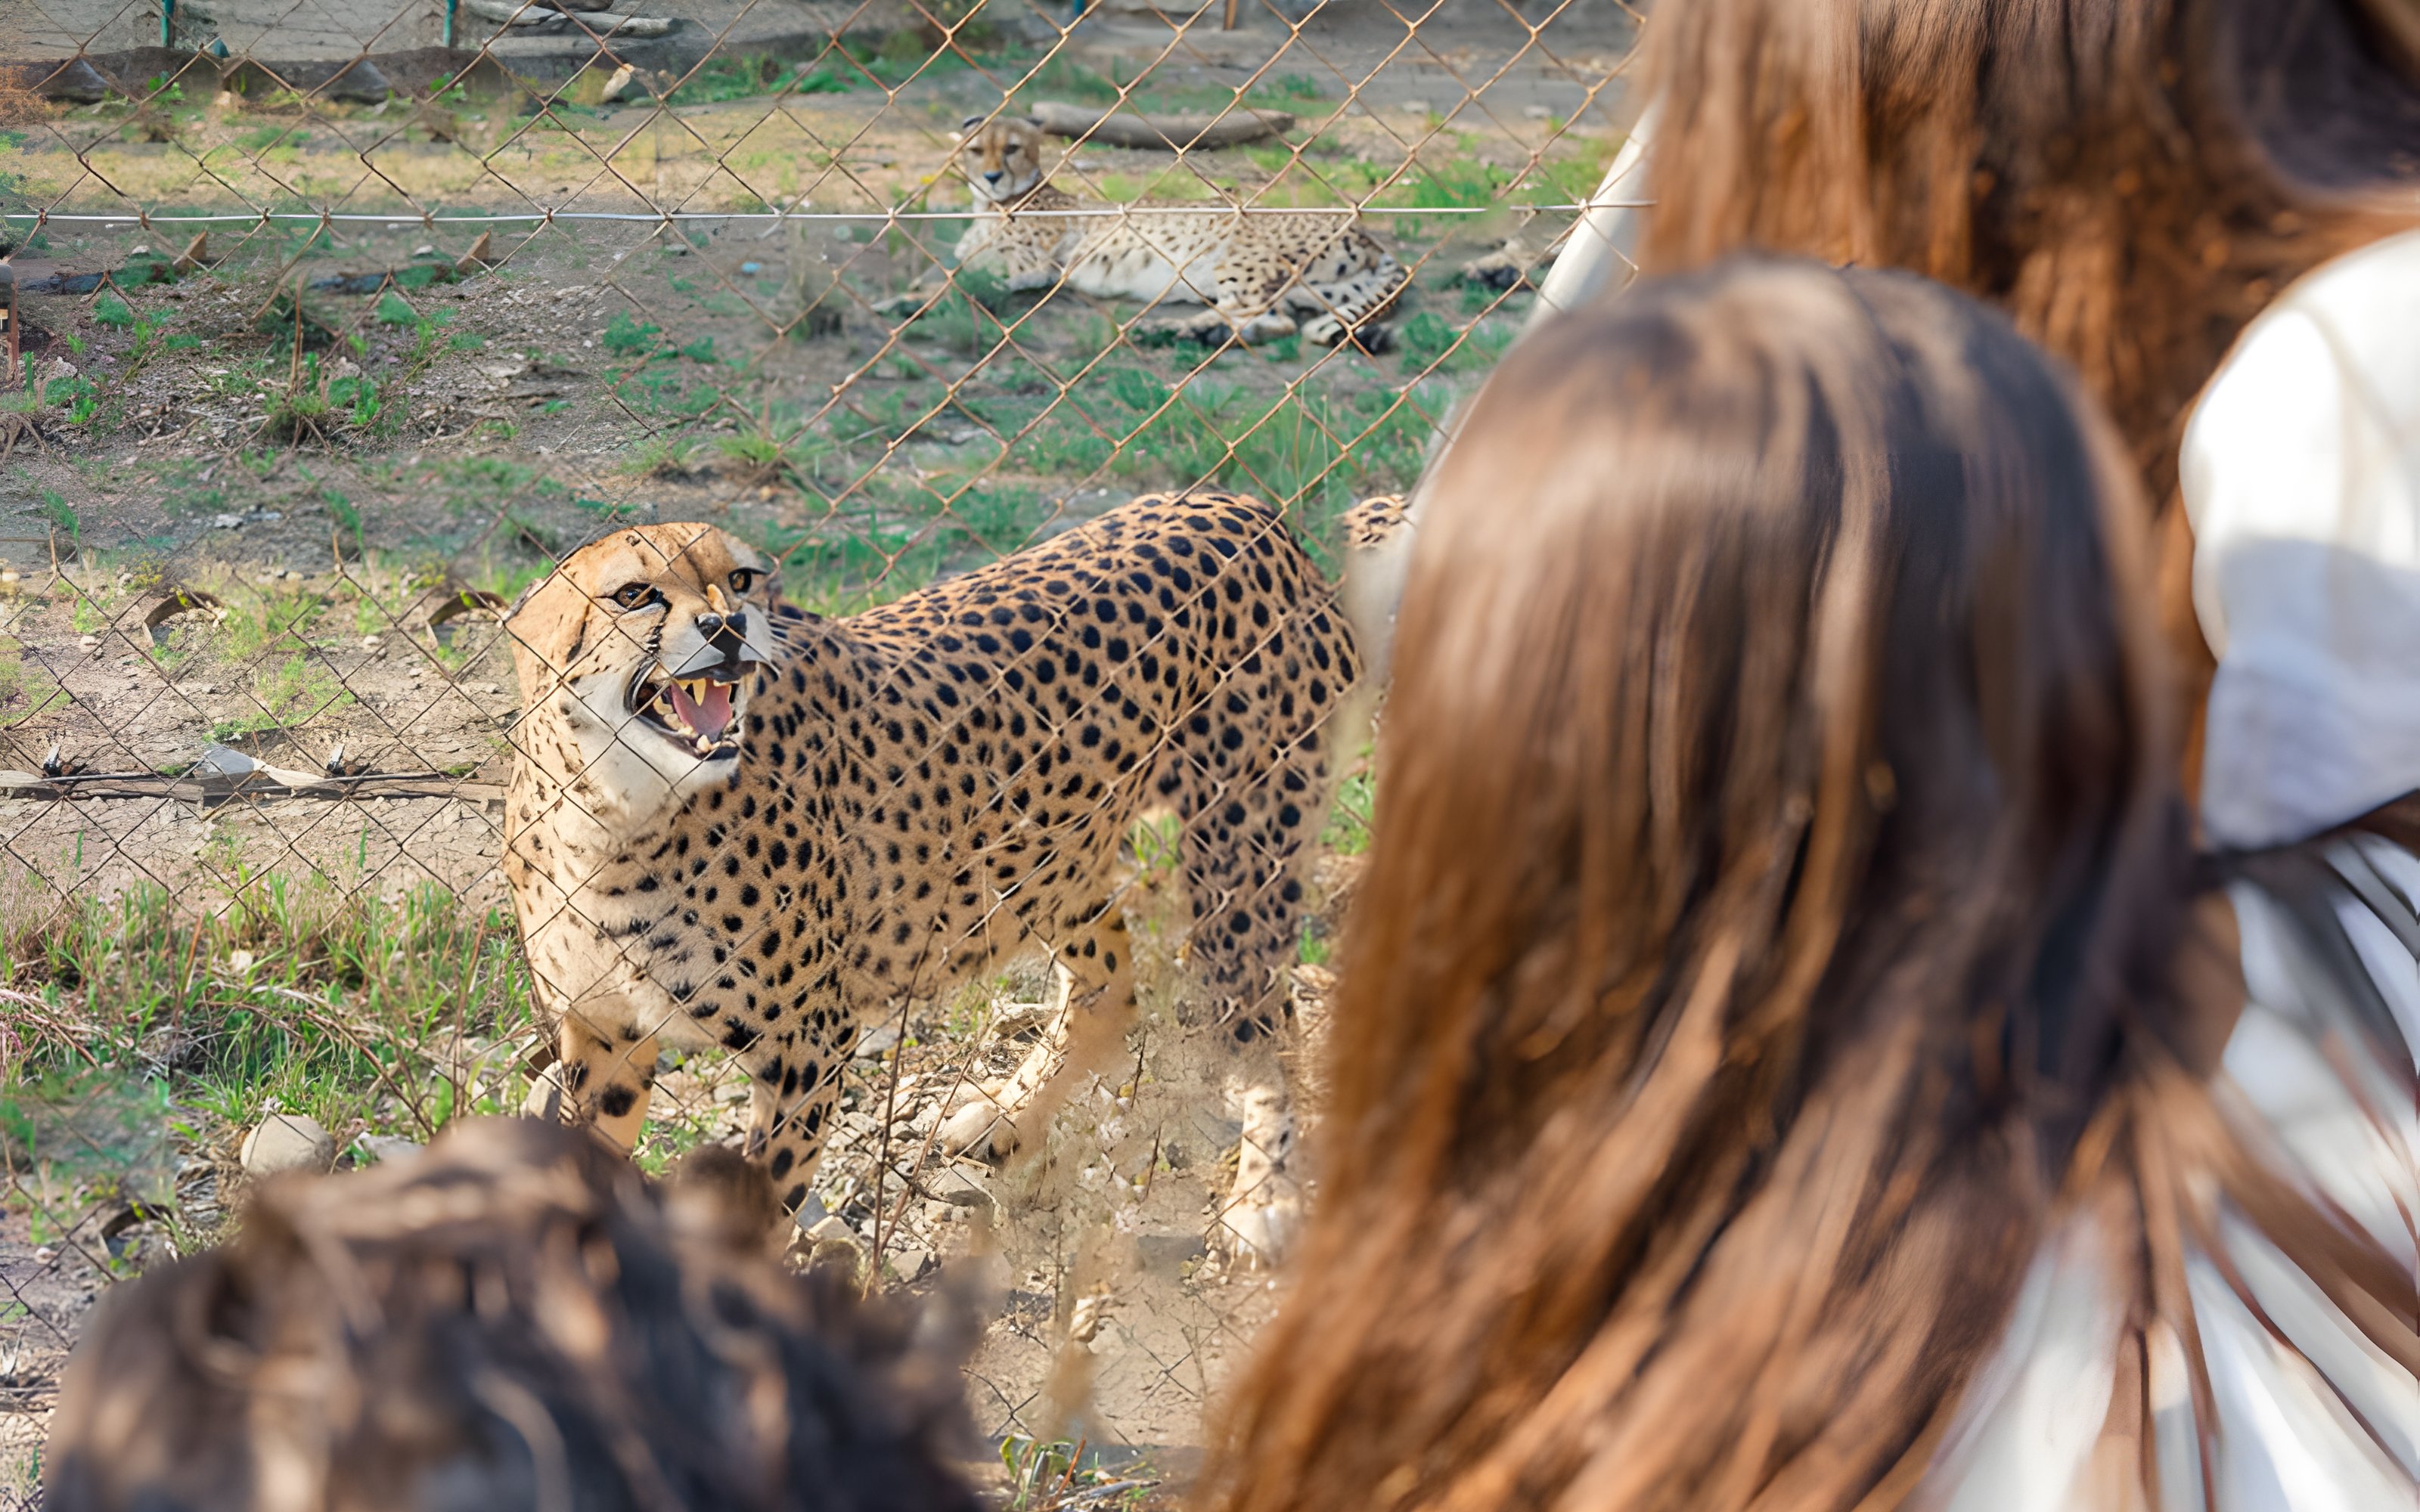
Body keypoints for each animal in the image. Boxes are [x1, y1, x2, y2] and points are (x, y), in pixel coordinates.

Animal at [502, 491, 1365, 1265]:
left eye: (740, 579)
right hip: (1043, 855)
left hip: (1238, 856)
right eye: (633, 594)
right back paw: (1012, 1118)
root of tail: (1238, 506)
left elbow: (766, 1198)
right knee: (1111, 989)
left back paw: (1263, 1197)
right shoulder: (602, 1032)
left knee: (1272, 1021)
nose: (727, 627)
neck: (615, 814)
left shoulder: (806, 1045)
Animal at [883, 115, 1409, 350]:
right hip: (1310, 289)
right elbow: (951, 268)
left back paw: (1175, 330)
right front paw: (906, 293)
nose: (992, 176)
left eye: (1011, 148)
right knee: (1273, 321)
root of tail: (1366, 231)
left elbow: (956, 279)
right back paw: (1194, 331)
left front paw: (905, 301)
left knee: (1256, 315)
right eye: (977, 150)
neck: (995, 203)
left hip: (1237, 254)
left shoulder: (1036, 266)